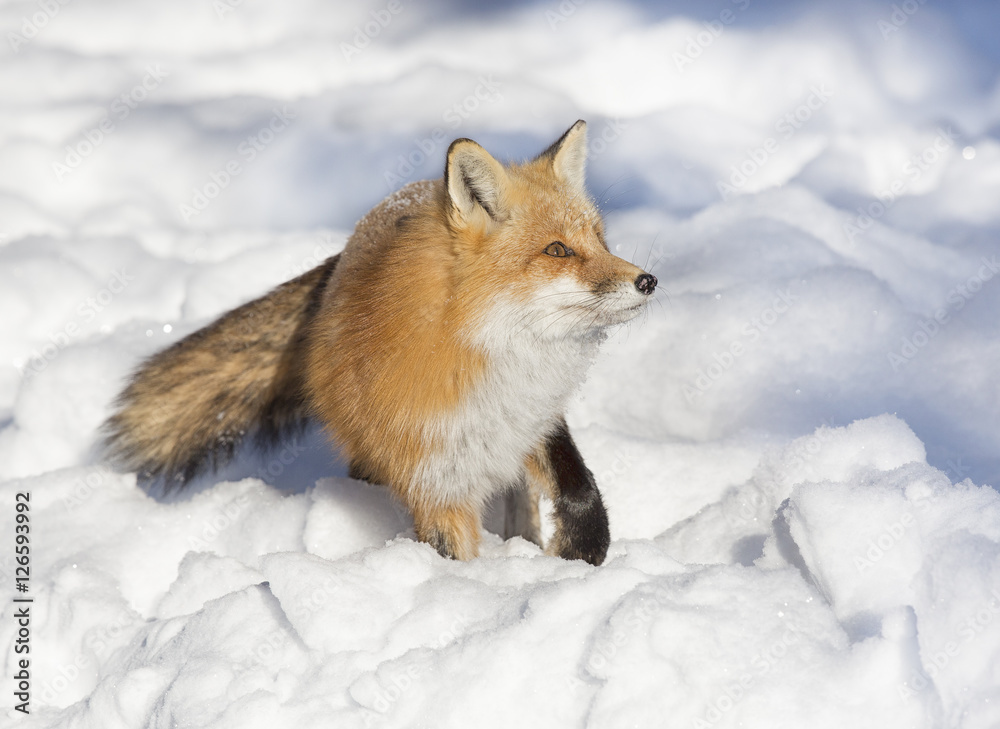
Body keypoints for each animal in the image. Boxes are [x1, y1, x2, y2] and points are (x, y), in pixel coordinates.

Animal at [105, 121, 656, 564]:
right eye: (557, 250)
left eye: (600, 240)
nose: (648, 281)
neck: (478, 355)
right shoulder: (434, 481)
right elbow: (453, 554)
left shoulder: (534, 419)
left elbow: (578, 485)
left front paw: (582, 551)